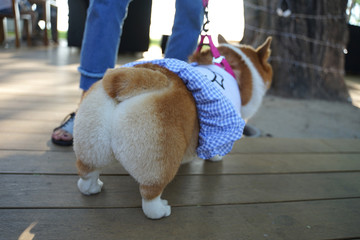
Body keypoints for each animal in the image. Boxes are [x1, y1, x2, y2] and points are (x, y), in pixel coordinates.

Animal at [74, 35, 272, 219]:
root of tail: (129, 79)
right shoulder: (219, 131)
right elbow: (215, 147)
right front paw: (215, 158)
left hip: (91, 145)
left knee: (87, 172)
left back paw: (92, 188)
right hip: (159, 162)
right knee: (150, 194)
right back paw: (160, 210)